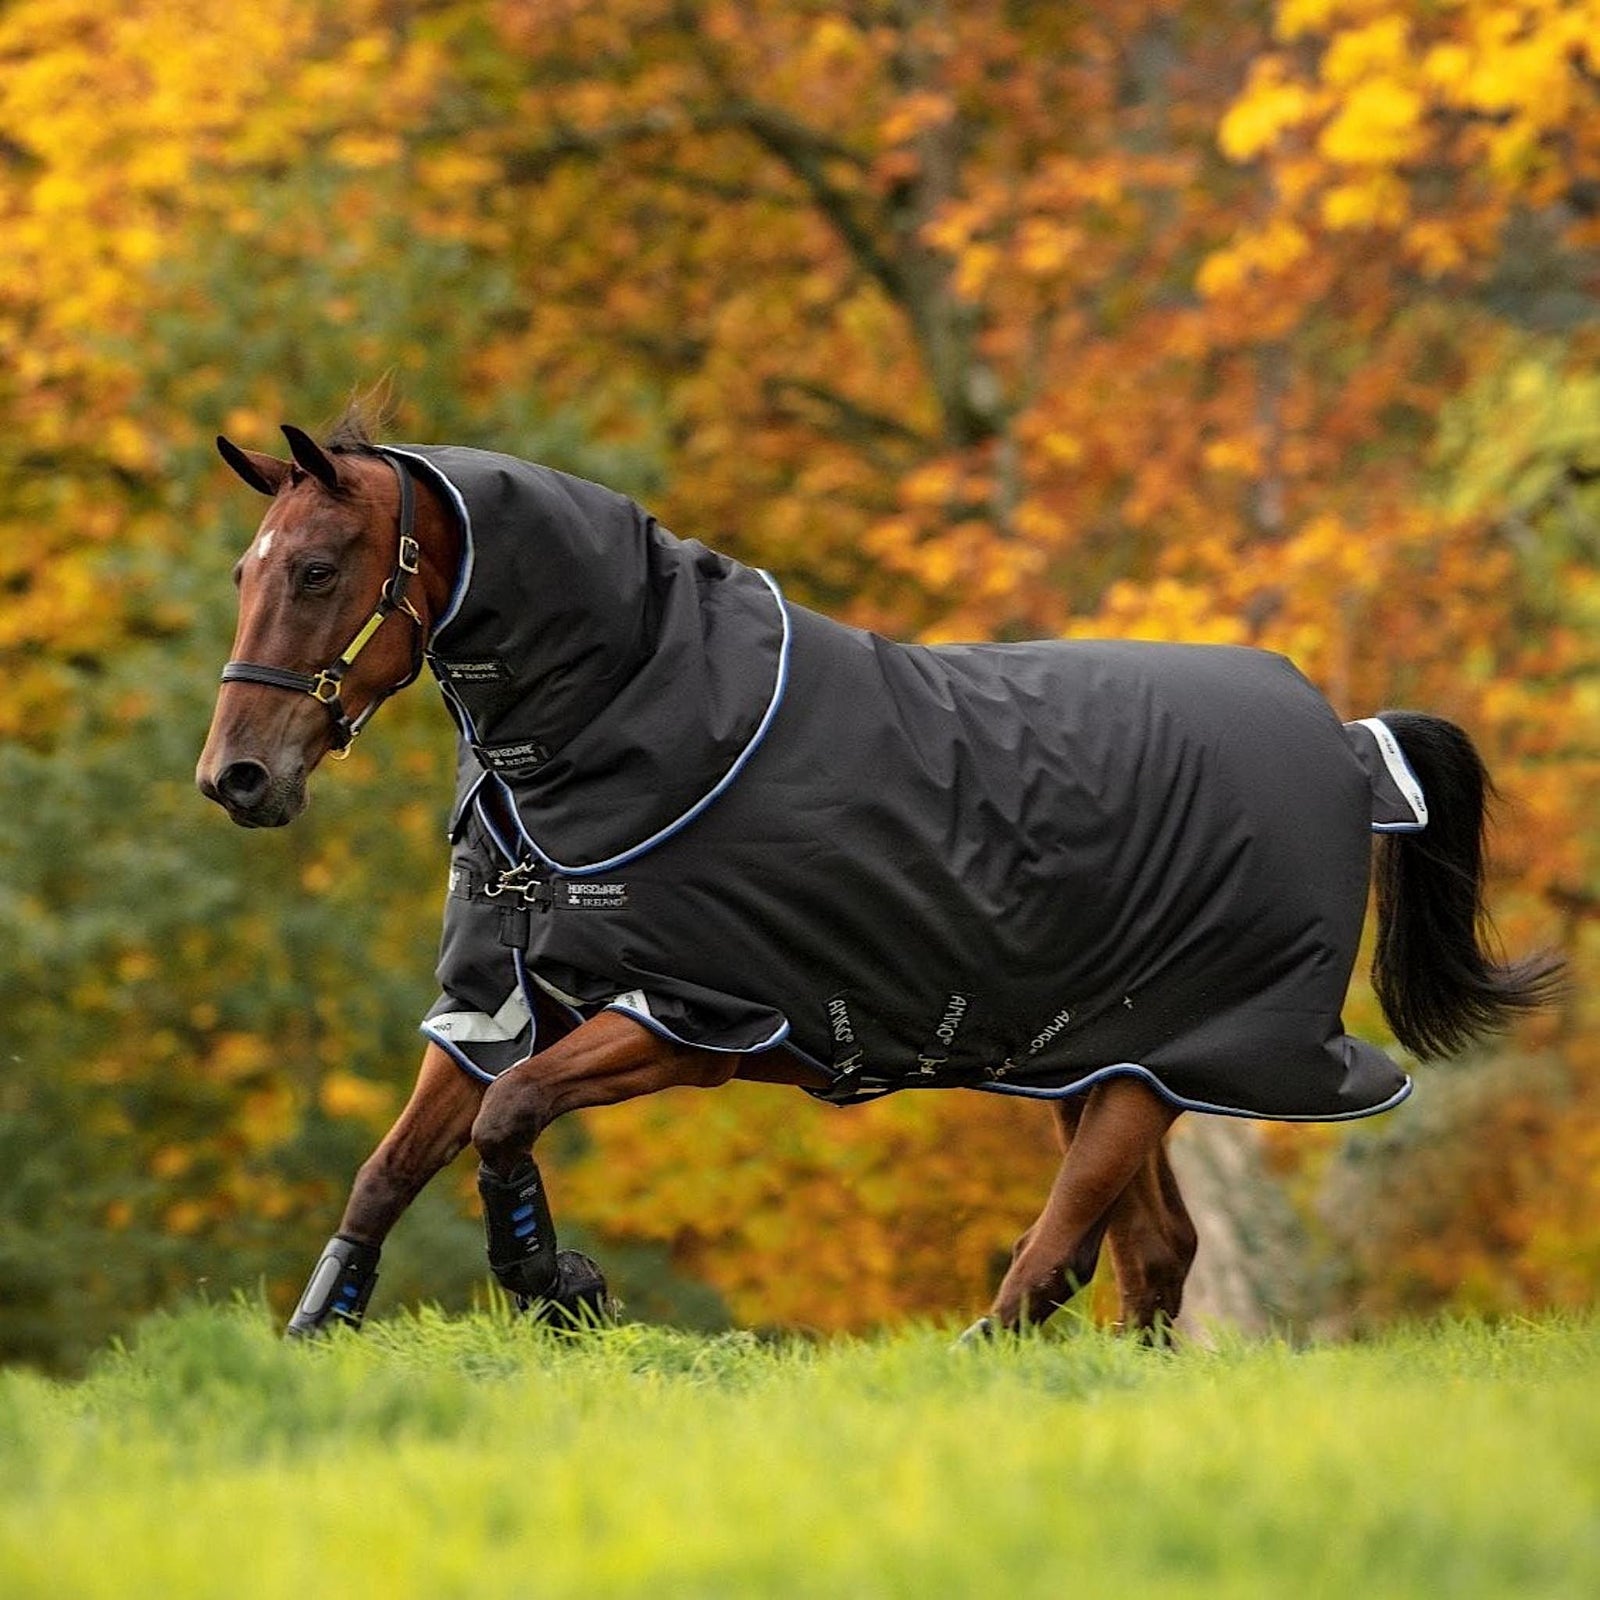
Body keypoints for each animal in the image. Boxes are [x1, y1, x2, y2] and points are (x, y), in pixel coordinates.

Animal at [193, 416, 1555, 1337]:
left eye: (318, 569)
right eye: (245, 570)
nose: (237, 776)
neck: (631, 720)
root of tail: (1348, 742)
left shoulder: (695, 1020)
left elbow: (506, 1116)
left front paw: (556, 1284)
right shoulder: (501, 1000)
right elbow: (396, 1159)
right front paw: (324, 1321)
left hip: (1174, 1055)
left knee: (1060, 1255)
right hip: (1094, 1057)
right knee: (1152, 1255)